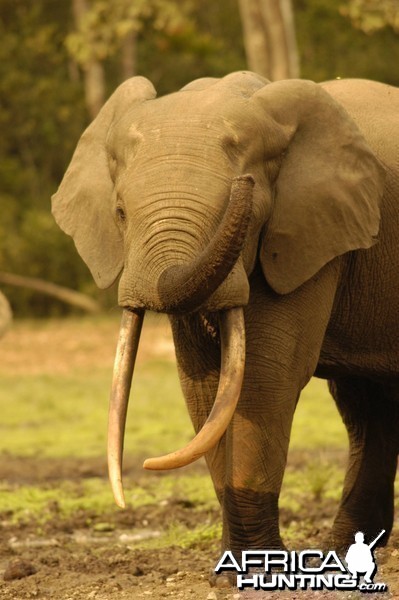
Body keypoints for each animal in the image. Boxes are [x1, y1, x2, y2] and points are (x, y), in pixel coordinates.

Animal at [52, 70, 399, 580]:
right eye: (120, 214)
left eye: (249, 211)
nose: (244, 181)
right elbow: (204, 385)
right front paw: (233, 568)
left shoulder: (309, 237)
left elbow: (262, 381)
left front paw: (260, 571)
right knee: (366, 406)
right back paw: (340, 552)